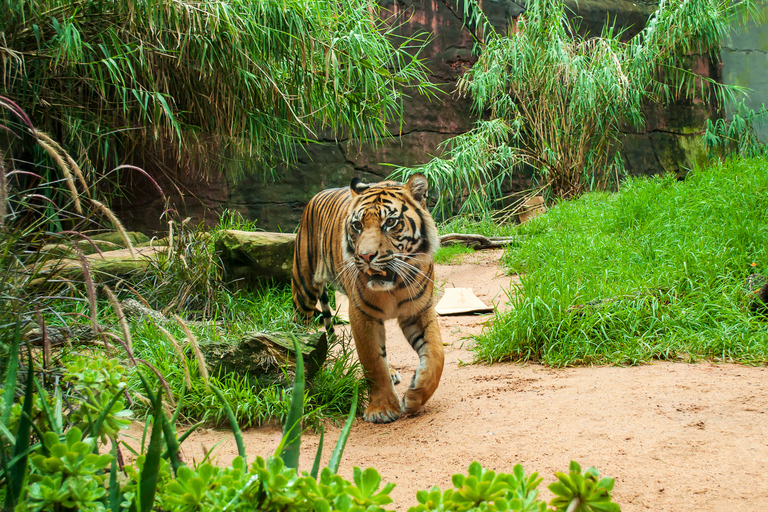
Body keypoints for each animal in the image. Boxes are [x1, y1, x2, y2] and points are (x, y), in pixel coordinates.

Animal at [292, 174, 444, 422]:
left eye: (390, 222)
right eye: (357, 225)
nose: (365, 256)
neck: (394, 286)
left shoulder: (419, 310)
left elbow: (436, 354)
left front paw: (414, 396)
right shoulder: (362, 315)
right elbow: (373, 361)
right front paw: (382, 409)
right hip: (304, 288)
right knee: (299, 328)